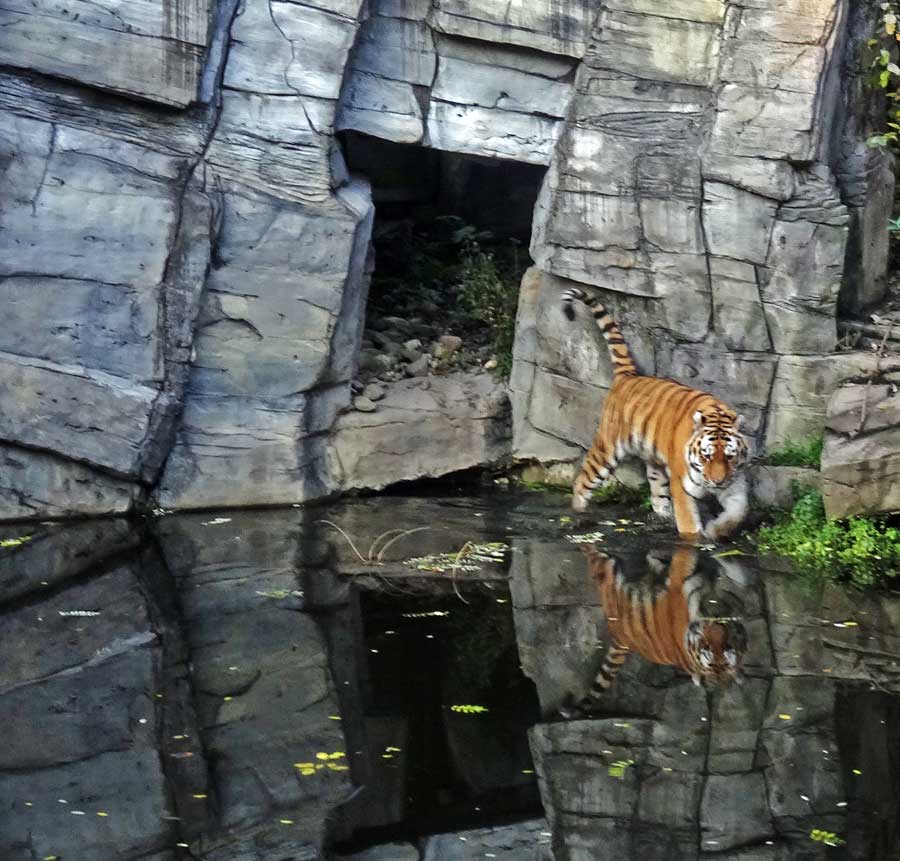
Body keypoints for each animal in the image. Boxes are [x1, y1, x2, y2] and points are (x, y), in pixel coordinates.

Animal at [560, 544, 748, 720]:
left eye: (725, 651)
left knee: (598, 558)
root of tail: (620, 637)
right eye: (710, 647)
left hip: (608, 572)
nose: (719, 631)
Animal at [564, 286, 752, 540]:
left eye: (729, 456)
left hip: (654, 464)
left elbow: (739, 511)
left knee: (657, 496)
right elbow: (689, 523)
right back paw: (579, 513)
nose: (717, 481)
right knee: (583, 482)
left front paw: (716, 530)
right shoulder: (682, 486)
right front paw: (697, 540)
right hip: (606, 450)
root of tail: (628, 375)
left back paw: (662, 516)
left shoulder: (734, 480)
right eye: (706, 456)